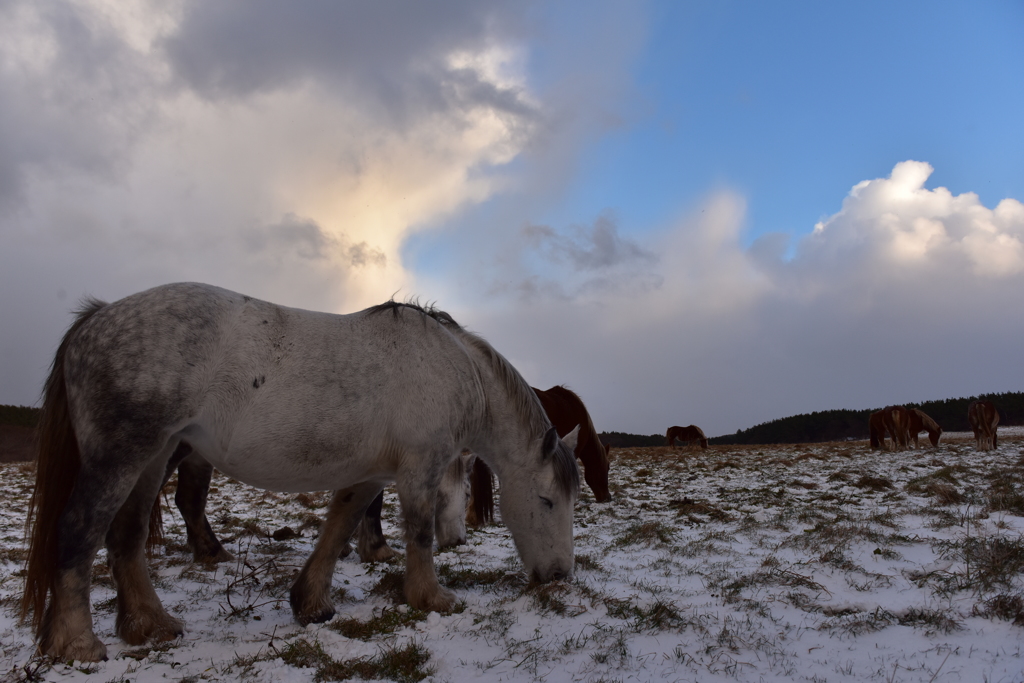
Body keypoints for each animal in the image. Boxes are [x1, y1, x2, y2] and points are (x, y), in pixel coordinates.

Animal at [24, 282, 581, 663]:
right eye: (547, 500)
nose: (559, 577)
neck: (457, 367)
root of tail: (97, 318)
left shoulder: (370, 474)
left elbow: (339, 529)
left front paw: (311, 604)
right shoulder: (419, 470)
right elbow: (419, 534)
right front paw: (432, 599)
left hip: (154, 457)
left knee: (126, 536)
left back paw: (150, 625)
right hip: (122, 457)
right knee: (78, 531)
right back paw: (77, 643)